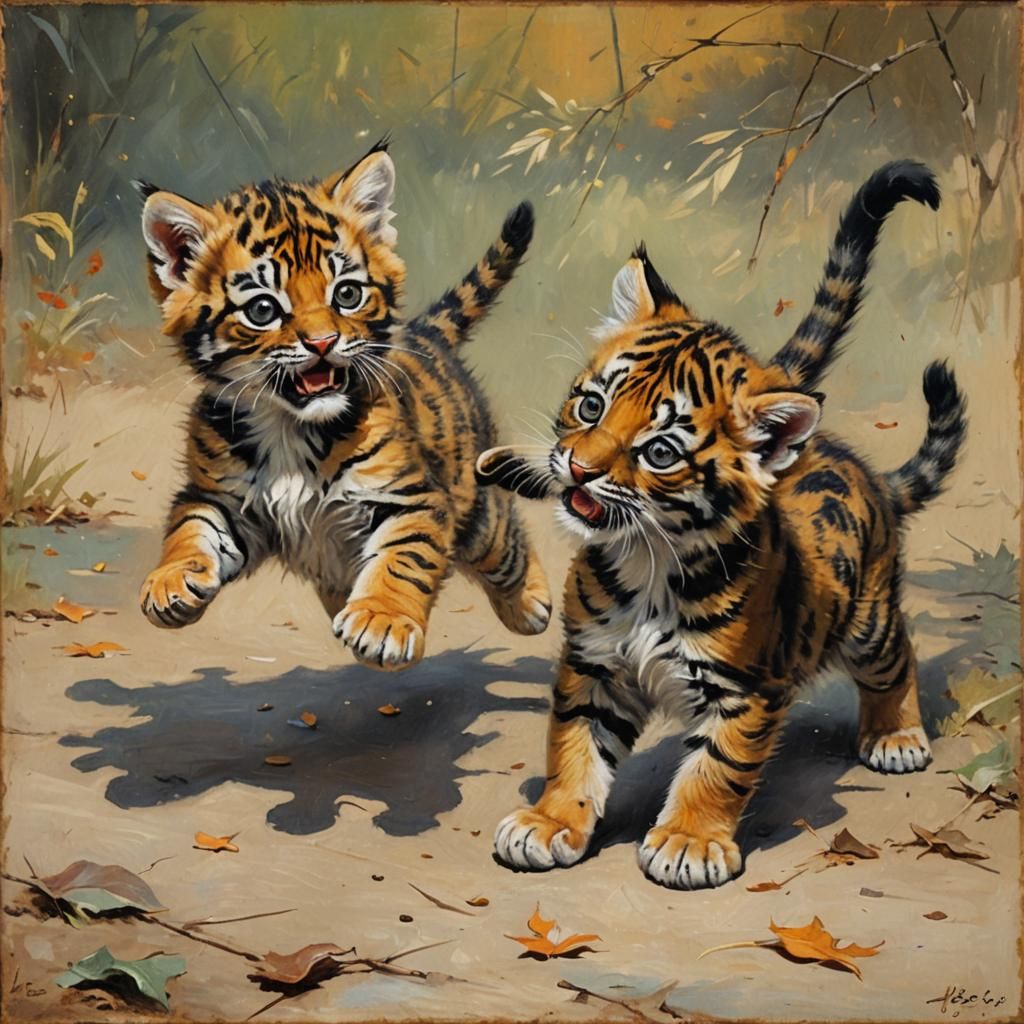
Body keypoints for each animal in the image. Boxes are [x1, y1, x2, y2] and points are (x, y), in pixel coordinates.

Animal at [136, 140, 551, 670]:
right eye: (263, 309)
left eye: (347, 294)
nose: (322, 342)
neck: (288, 427)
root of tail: (426, 333)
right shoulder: (221, 497)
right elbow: (190, 528)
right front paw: (169, 583)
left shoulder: (412, 495)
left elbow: (405, 557)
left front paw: (383, 621)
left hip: (480, 515)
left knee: (507, 543)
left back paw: (532, 604)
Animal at [476, 161, 965, 889]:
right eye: (591, 407)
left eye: (660, 452)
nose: (579, 470)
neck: (647, 560)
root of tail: (864, 469)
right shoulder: (592, 665)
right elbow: (572, 746)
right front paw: (550, 823)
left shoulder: (744, 691)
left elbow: (717, 770)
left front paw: (687, 843)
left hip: (867, 618)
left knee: (895, 656)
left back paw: (896, 737)